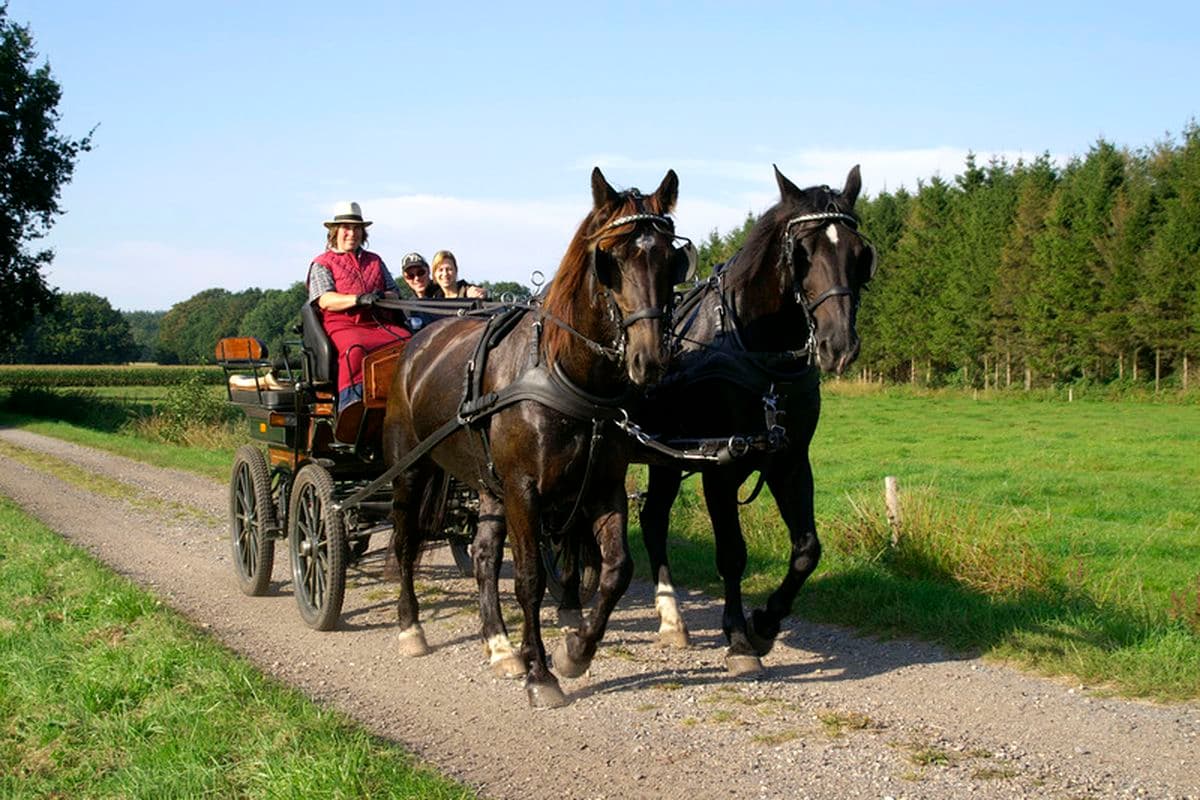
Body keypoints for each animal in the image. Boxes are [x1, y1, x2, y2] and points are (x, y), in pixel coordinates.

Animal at [379, 167, 691, 705]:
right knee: (404, 542)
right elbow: (529, 578)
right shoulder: (524, 490)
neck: (566, 373)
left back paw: (500, 646)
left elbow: (616, 569)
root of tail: (418, 342)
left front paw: (575, 652)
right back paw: (411, 628)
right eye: (609, 260)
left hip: (488, 484)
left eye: (672, 259)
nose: (649, 360)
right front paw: (541, 673)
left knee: (483, 557)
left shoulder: (602, 486)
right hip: (412, 469)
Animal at [628, 165, 873, 671]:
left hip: (664, 458)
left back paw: (671, 619)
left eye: (860, 255)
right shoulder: (718, 469)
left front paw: (765, 624)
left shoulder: (790, 461)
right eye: (802, 253)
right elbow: (732, 554)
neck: (759, 354)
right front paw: (739, 638)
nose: (839, 345)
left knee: (653, 517)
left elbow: (807, 550)